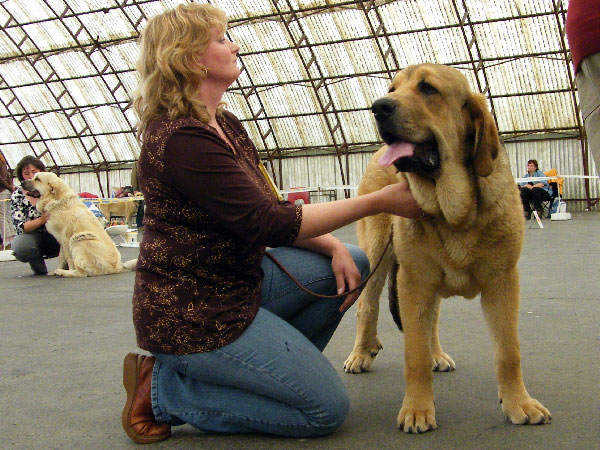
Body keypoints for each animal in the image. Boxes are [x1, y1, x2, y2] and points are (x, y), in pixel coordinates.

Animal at [344, 62, 552, 432]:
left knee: (433, 323)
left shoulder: (502, 283)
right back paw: (361, 353)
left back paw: (436, 354)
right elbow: (414, 356)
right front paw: (417, 409)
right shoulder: (413, 282)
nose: (379, 106)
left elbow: (508, 352)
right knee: (367, 308)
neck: (454, 211)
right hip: (377, 255)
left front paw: (519, 403)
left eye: (428, 89)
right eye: (393, 88)